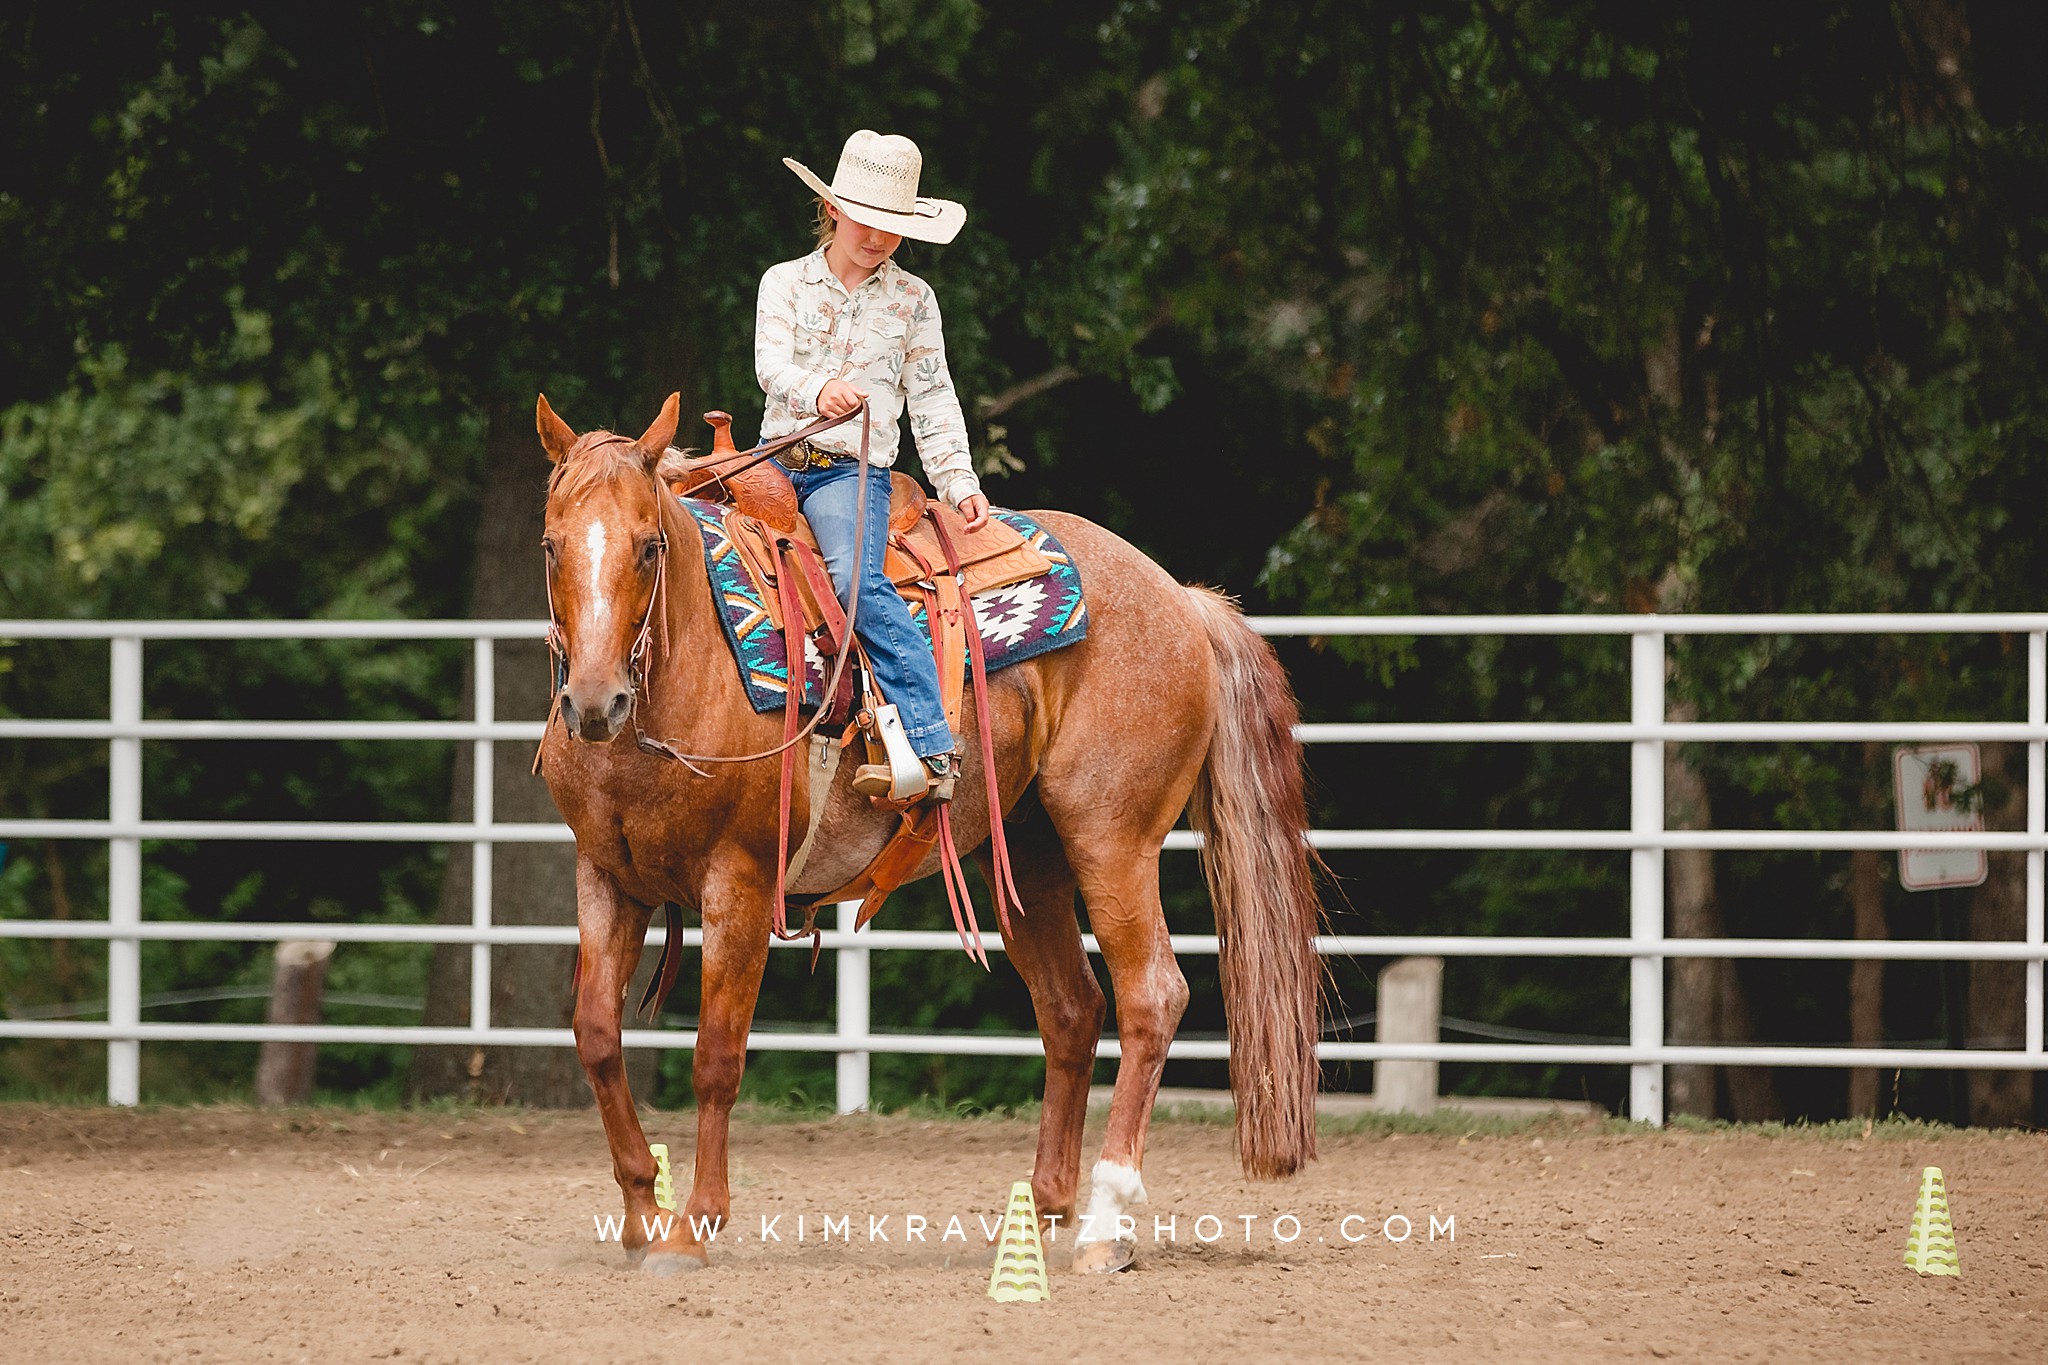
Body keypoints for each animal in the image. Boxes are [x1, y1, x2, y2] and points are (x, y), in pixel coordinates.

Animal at [536, 388, 1318, 1277]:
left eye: (648, 546)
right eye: (552, 546)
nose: (595, 702)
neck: (694, 662)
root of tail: (1181, 597)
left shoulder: (739, 881)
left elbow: (716, 1056)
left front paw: (691, 1226)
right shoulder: (608, 876)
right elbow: (598, 1036)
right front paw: (642, 1210)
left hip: (1112, 840)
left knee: (1151, 995)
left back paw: (1104, 1225)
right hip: (1027, 853)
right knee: (1072, 1007)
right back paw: (1042, 1211)